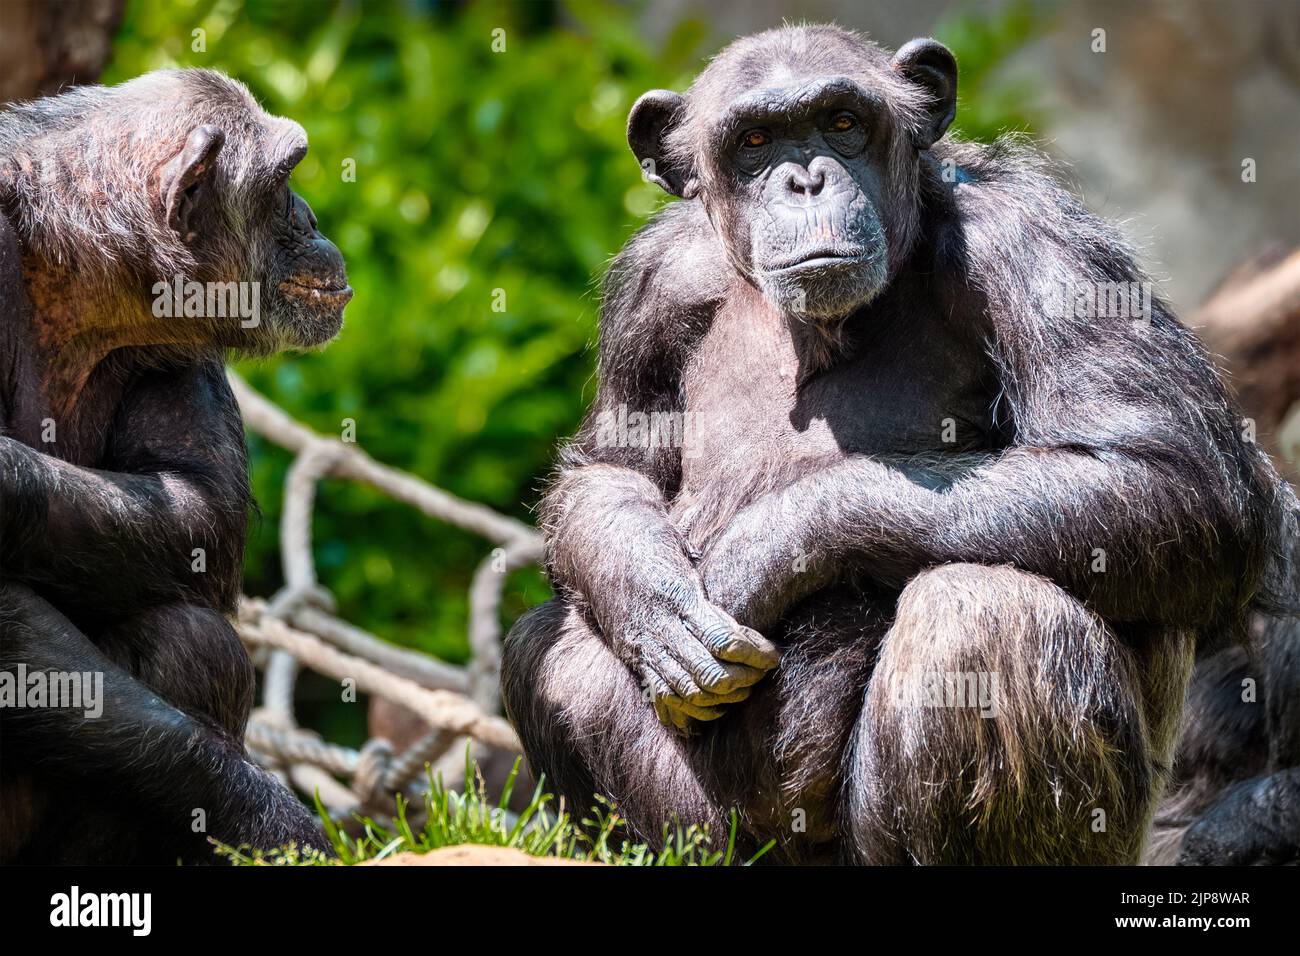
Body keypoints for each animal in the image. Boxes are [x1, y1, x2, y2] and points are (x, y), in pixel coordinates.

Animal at [500, 25, 1291, 864]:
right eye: (754, 142)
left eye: (843, 122)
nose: (806, 181)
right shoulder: (651, 288)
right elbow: (613, 469)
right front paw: (656, 602)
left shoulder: (1035, 241)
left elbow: (1168, 468)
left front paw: (762, 549)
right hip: (716, 835)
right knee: (546, 643)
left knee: (984, 615)